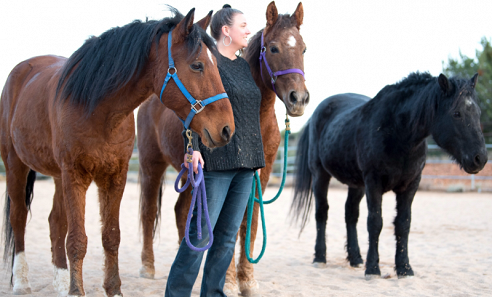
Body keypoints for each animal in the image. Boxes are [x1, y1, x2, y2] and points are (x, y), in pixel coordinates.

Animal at [0, 7, 234, 296]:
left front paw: (113, 289)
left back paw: (60, 282)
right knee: (19, 217)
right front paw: (77, 291)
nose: (227, 129)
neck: (98, 109)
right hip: (16, 165)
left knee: (55, 222)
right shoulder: (75, 175)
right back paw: (22, 281)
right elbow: (77, 239)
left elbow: (111, 236)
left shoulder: (114, 176)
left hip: (56, 175)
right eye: (197, 65)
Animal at [136, 1, 308, 294]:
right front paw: (228, 281)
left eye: (304, 48)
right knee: (149, 212)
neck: (259, 118)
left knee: (183, 212)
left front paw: (247, 280)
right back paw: (147, 267)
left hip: (192, 173)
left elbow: (248, 224)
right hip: (152, 166)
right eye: (273, 48)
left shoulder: (259, 174)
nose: (299, 99)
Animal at [290, 71, 486, 278]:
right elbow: (375, 223)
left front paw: (404, 268)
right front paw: (373, 269)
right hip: (320, 175)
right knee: (322, 212)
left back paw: (355, 258)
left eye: (478, 113)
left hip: (356, 184)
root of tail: (315, 115)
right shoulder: (374, 183)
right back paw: (320, 257)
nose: (480, 158)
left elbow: (403, 224)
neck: (397, 132)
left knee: (350, 214)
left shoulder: (410, 185)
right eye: (456, 113)